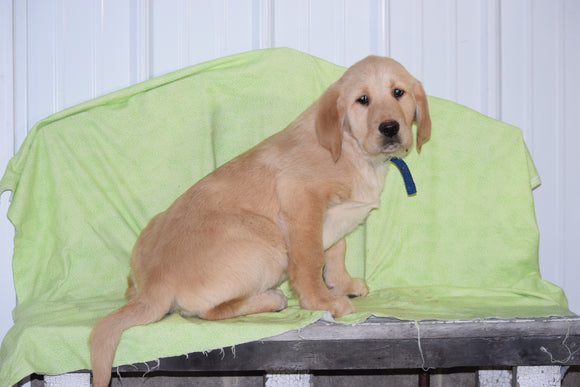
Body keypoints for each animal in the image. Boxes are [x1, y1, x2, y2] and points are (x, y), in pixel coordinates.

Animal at [89, 55, 430, 387]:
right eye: (362, 100)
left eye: (398, 92)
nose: (390, 127)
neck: (350, 149)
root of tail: (155, 284)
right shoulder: (302, 199)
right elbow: (311, 260)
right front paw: (323, 301)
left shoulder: (335, 215)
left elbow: (336, 252)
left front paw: (343, 285)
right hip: (267, 243)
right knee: (207, 312)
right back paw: (272, 299)